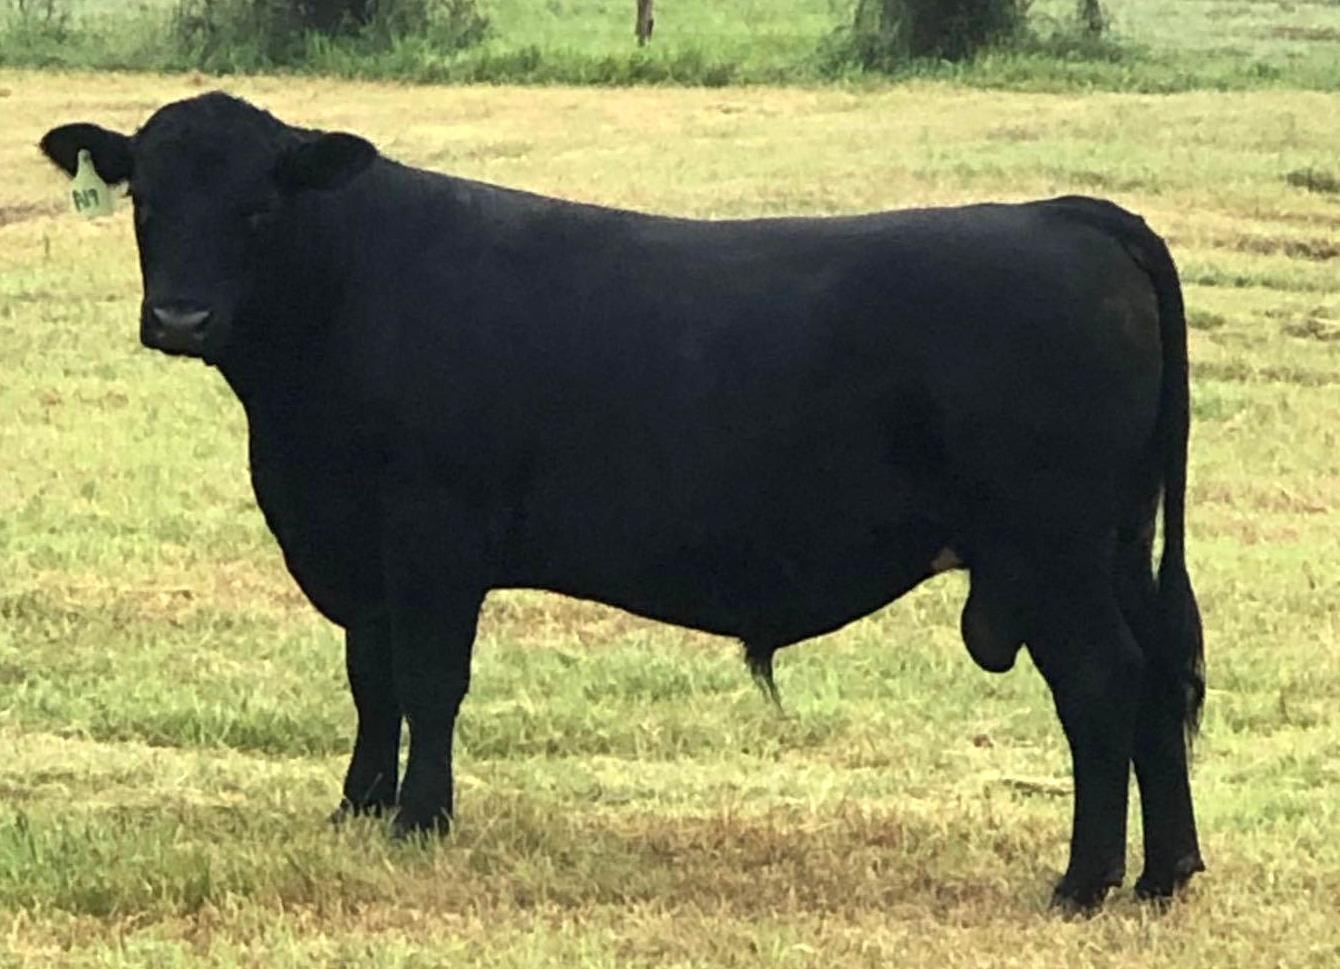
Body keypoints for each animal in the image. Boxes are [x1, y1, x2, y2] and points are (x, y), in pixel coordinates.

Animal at [40, 92, 1205, 911]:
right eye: (146, 199)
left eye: (259, 204)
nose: (179, 317)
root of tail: (1068, 216)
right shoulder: (357, 549)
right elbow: (371, 681)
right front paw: (356, 809)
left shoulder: (430, 536)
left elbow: (428, 683)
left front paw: (420, 820)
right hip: (1113, 542)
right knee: (1155, 681)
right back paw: (1165, 875)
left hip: (1049, 548)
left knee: (1102, 681)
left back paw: (1082, 885)